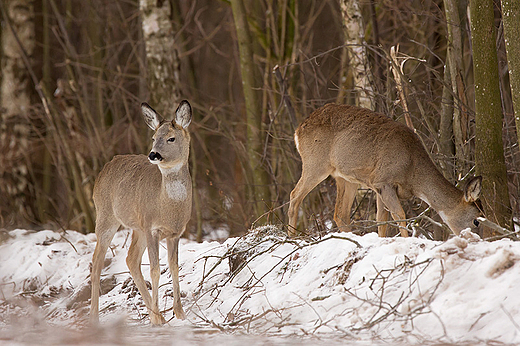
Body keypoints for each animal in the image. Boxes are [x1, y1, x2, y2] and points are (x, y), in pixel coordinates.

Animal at [91, 99, 193, 324]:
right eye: (154, 138)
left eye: (171, 138)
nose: (153, 154)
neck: (167, 206)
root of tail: (104, 169)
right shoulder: (151, 228)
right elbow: (155, 270)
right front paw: (159, 318)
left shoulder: (175, 233)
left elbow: (173, 268)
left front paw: (179, 313)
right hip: (106, 217)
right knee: (96, 262)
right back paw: (94, 316)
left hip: (137, 227)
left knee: (131, 259)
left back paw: (156, 314)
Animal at [286, 102, 482, 238]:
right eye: (476, 220)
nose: (479, 239)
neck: (412, 171)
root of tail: (297, 131)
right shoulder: (384, 180)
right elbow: (400, 215)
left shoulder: (377, 184)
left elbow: (382, 220)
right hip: (315, 164)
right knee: (295, 195)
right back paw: (292, 238)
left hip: (345, 177)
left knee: (340, 213)